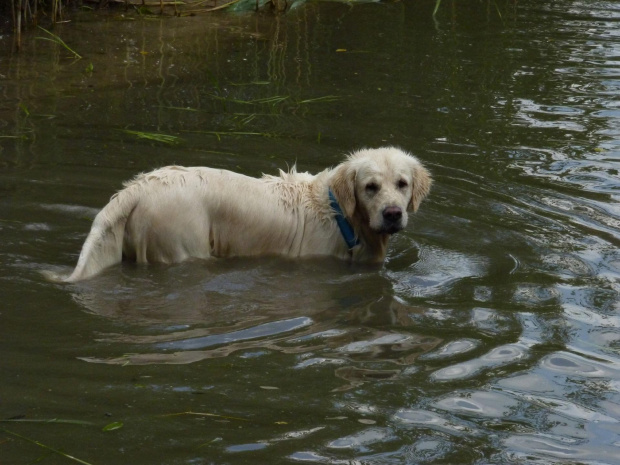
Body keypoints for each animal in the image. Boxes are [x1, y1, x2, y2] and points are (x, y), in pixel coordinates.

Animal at [47, 147, 432, 280]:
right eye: (370, 187)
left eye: (402, 183)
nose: (393, 214)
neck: (342, 216)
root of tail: (139, 186)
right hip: (180, 244)